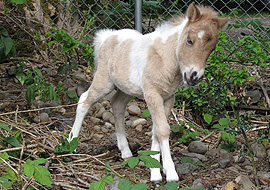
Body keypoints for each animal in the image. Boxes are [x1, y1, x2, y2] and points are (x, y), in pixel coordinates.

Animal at [68, 2, 229, 182]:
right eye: (189, 40)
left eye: (212, 48)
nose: (194, 76)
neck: (165, 60)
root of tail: (107, 37)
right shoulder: (152, 95)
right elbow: (163, 130)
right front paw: (169, 173)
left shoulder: (168, 98)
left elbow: (157, 130)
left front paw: (156, 169)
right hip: (104, 82)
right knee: (84, 101)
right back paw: (71, 144)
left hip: (126, 89)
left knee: (117, 106)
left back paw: (125, 151)